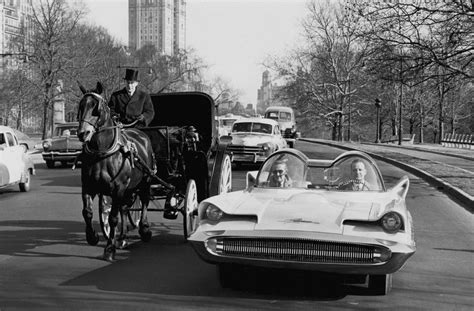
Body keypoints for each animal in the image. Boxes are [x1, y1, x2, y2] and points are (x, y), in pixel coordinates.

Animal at [76, 81, 154, 262]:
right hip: (129, 188)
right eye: (81, 106)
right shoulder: (88, 187)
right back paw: (122, 237)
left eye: (96, 107)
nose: (83, 133)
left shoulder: (117, 189)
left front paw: (109, 249)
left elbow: (112, 218)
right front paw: (93, 237)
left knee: (144, 201)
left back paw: (144, 229)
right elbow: (87, 212)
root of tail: (141, 134)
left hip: (144, 182)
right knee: (125, 209)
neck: (102, 152)